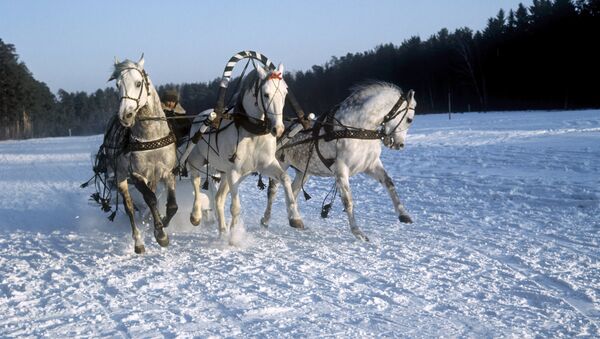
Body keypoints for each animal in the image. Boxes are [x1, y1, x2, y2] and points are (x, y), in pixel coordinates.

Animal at [105, 55, 178, 254]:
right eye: (117, 85)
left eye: (138, 83)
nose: (126, 115)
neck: (150, 137)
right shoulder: (136, 175)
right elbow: (150, 199)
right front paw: (160, 234)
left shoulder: (167, 172)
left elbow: (172, 206)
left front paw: (163, 223)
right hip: (121, 178)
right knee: (130, 207)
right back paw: (138, 241)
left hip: (152, 177)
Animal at [188, 63, 304, 239]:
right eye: (266, 94)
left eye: (285, 93)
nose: (278, 129)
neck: (252, 134)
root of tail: (201, 115)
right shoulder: (234, 171)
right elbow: (235, 208)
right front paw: (234, 237)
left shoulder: (266, 164)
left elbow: (285, 178)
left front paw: (295, 217)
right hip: (198, 160)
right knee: (195, 182)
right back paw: (196, 216)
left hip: (227, 173)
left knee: (218, 199)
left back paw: (223, 232)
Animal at [262, 82, 418, 242]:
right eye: (409, 119)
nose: (399, 145)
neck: (357, 129)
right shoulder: (341, 170)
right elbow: (348, 201)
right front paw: (358, 232)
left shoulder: (371, 165)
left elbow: (389, 183)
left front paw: (404, 215)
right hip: (280, 164)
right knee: (273, 191)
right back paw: (267, 220)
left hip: (303, 171)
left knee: (293, 190)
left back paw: (294, 218)